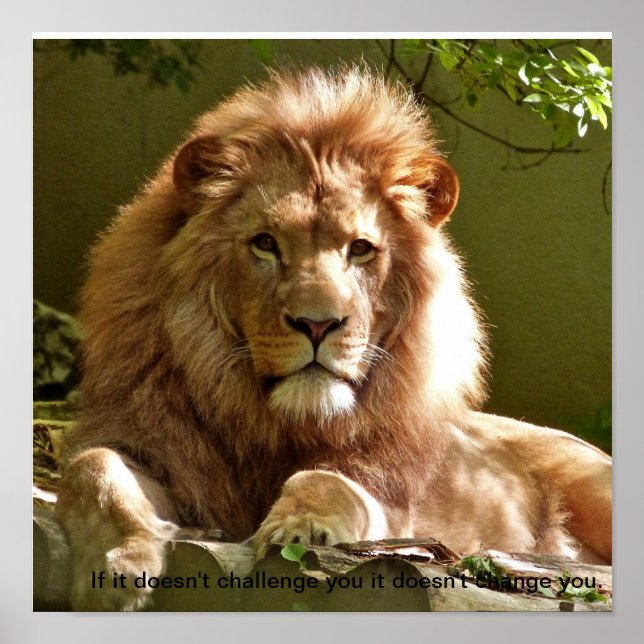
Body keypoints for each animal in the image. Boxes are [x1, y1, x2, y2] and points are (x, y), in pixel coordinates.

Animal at [55, 67, 611, 611]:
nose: (318, 324)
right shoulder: (152, 445)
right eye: (265, 244)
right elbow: (92, 468)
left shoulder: (386, 497)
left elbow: (327, 482)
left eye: (360, 249)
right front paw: (120, 564)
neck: (273, 424)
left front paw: (303, 530)